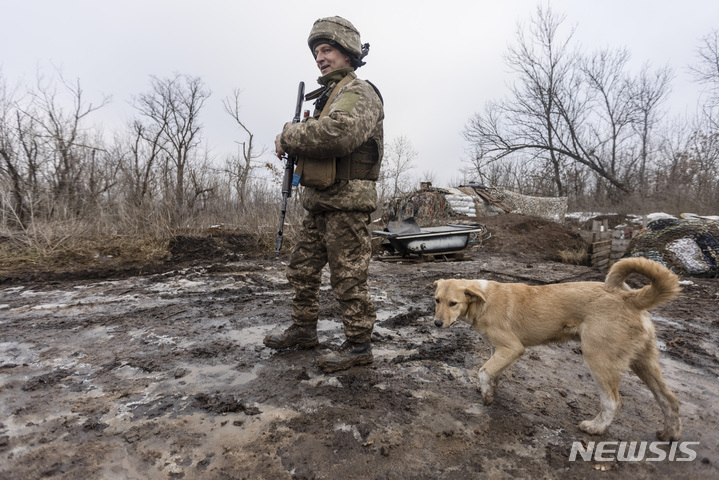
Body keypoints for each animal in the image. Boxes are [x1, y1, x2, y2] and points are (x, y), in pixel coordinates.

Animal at [436, 256, 684, 440]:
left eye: (453, 303)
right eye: (436, 300)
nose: (437, 323)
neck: (482, 299)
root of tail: (628, 297)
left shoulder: (512, 348)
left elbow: (483, 371)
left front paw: (486, 397)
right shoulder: (498, 350)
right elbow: (493, 372)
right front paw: (491, 391)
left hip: (598, 359)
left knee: (613, 402)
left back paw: (595, 428)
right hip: (644, 363)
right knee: (669, 400)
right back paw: (669, 434)